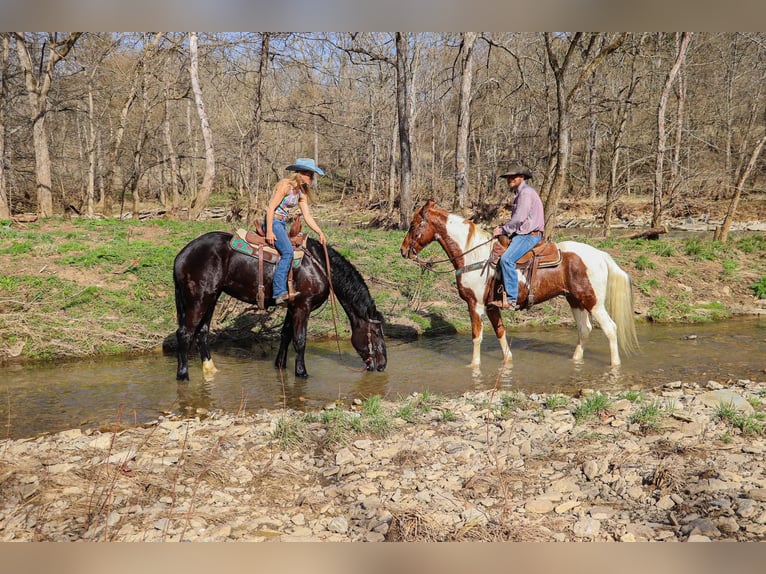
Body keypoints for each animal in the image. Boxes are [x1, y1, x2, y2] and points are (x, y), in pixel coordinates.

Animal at [176, 232, 390, 380]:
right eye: (376, 332)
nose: (382, 365)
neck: (319, 265)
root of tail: (182, 254)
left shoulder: (292, 307)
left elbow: (286, 335)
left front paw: (280, 365)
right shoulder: (303, 307)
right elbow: (300, 340)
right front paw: (302, 372)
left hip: (211, 299)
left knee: (202, 332)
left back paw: (210, 369)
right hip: (199, 300)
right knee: (185, 333)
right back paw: (183, 375)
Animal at [402, 200, 640, 366]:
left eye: (413, 225)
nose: (403, 251)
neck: (473, 256)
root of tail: (600, 254)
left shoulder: (474, 305)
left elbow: (477, 337)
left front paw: (473, 366)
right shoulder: (491, 307)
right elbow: (500, 333)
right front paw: (507, 362)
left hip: (593, 302)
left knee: (610, 328)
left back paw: (614, 365)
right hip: (575, 300)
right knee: (585, 329)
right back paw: (575, 360)